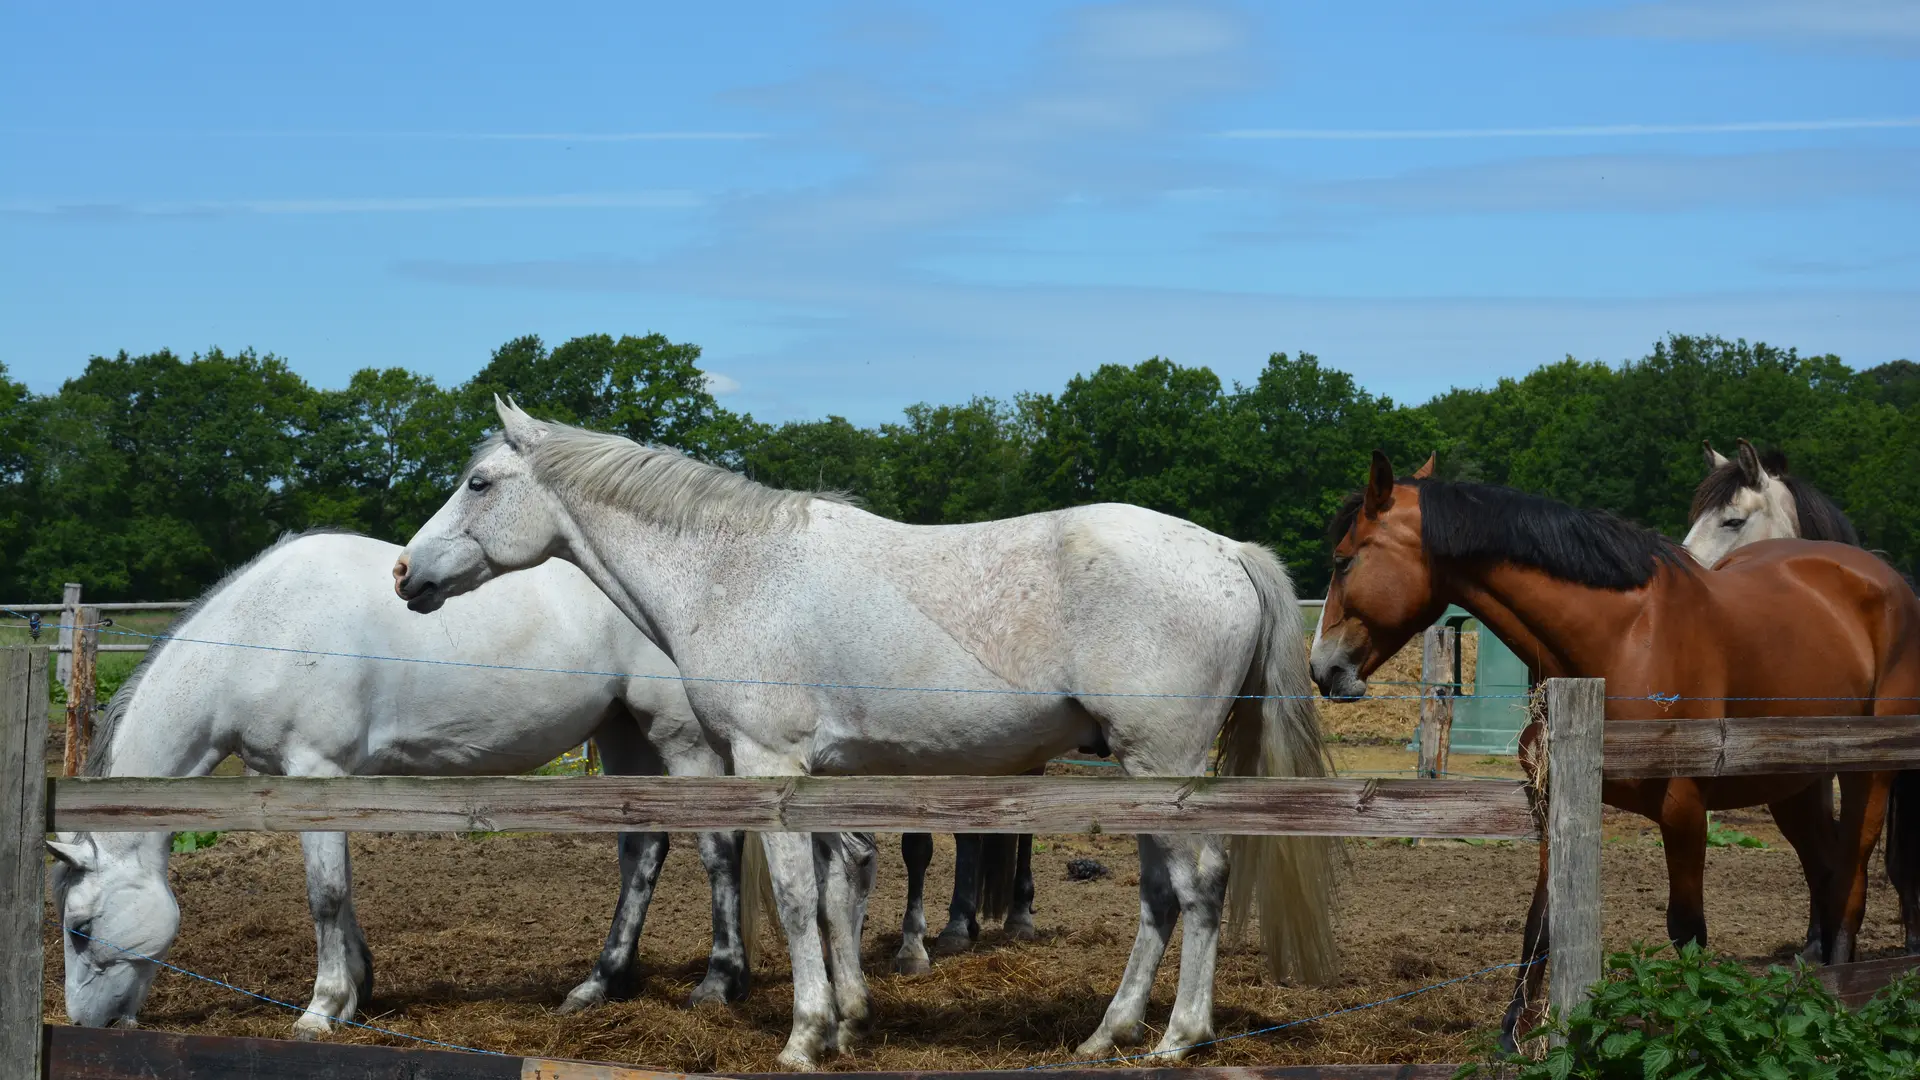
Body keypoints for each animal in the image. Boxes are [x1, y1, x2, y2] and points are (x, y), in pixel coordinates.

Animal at [48, 530, 752, 1037]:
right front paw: (358, 989)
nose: (87, 1024)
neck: (261, 633)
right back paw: (599, 985)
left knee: (719, 847)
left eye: (79, 927)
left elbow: (325, 895)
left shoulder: (317, 772)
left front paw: (322, 1010)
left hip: (682, 740)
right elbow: (342, 893)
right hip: (623, 733)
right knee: (643, 850)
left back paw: (718, 986)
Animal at [397, 397, 1344, 1068]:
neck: (734, 573)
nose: (406, 572)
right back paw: (1109, 1032)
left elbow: (793, 895)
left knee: (1201, 885)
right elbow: (835, 887)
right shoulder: (820, 775)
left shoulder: (767, 765)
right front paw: (848, 1023)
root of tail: (1225, 552)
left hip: (1162, 765)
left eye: (479, 484)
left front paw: (803, 1035)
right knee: (1158, 896)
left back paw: (1180, 1036)